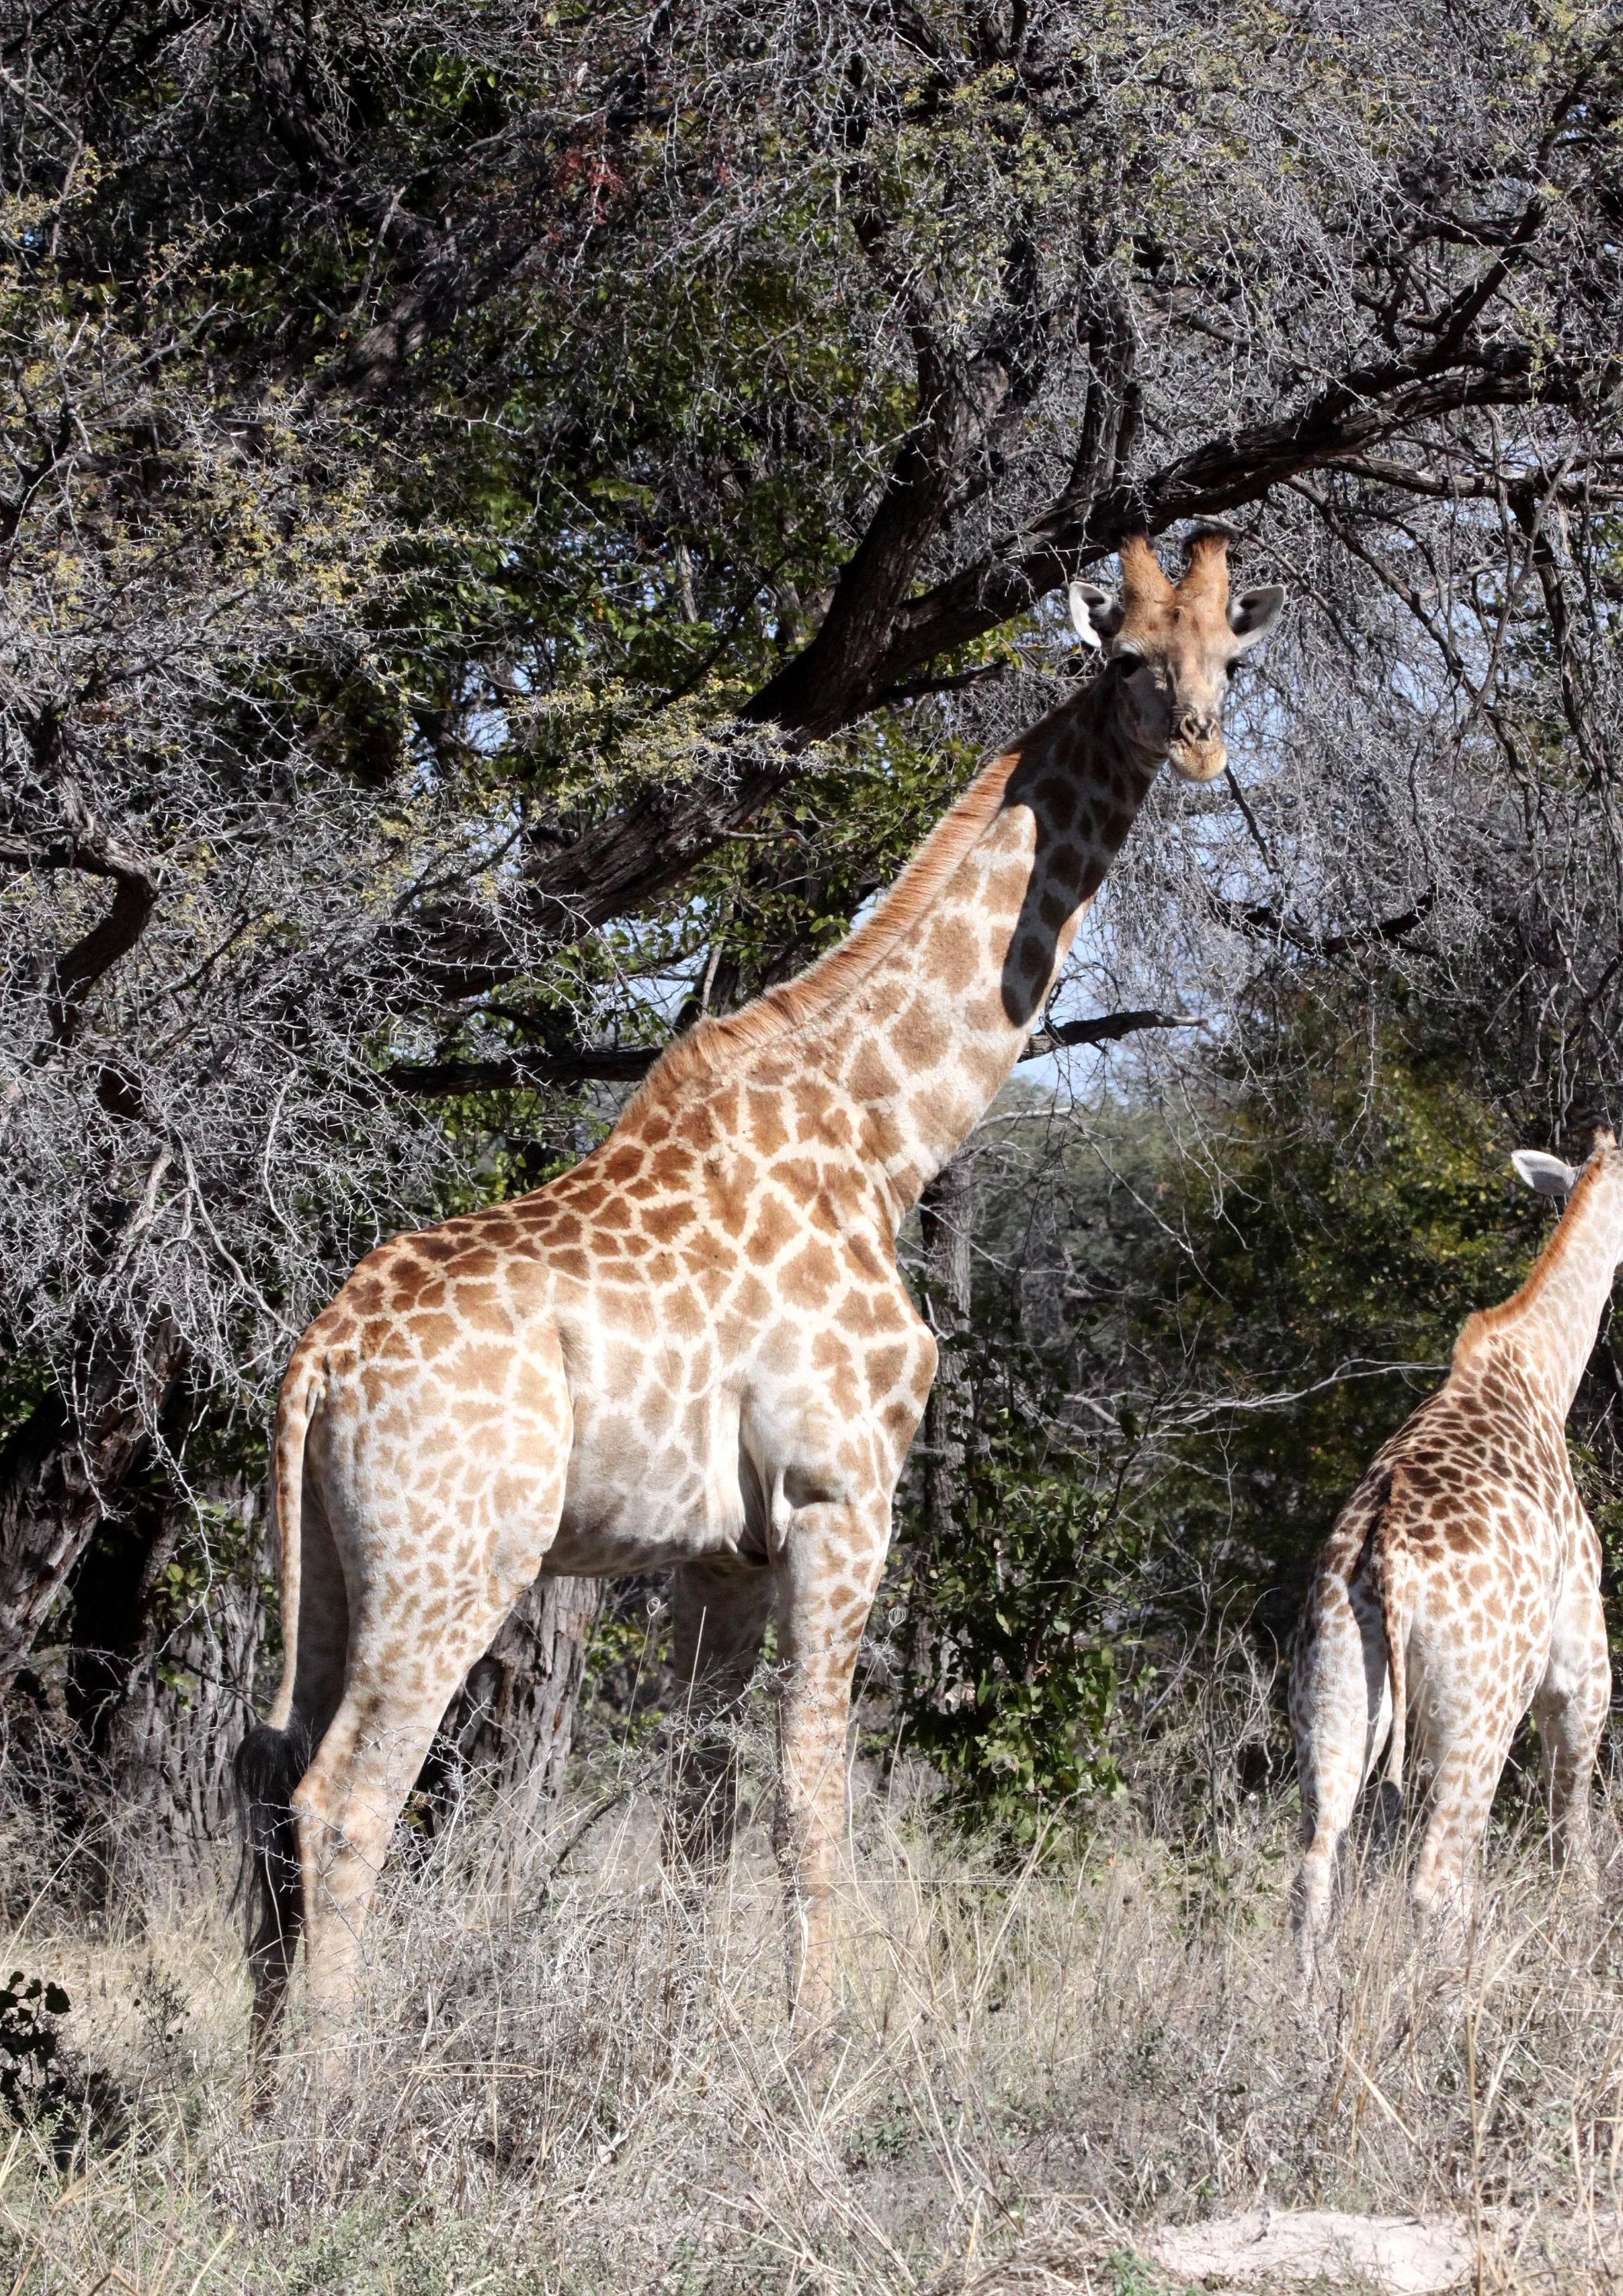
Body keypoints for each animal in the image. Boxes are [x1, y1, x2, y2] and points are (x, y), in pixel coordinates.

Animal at [235, 527, 1286, 2049]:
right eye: (1129, 655)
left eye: (1226, 657)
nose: (1199, 744)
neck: (884, 1137)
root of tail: (318, 1358)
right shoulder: (843, 1496)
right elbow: (807, 1805)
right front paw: (813, 2040)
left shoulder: (718, 1553)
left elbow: (697, 1816)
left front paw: (690, 2043)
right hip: (457, 1554)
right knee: (346, 1799)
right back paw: (329, 2086)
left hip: (324, 1557)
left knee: (267, 1777)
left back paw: (258, 2083)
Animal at [1290, 1133, 1618, 1976]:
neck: (1543, 1369)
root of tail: (1386, 1560)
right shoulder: (1579, 1665)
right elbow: (1576, 1834)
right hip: (1480, 1709)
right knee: (1438, 1877)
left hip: (1335, 1689)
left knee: (1315, 1869)